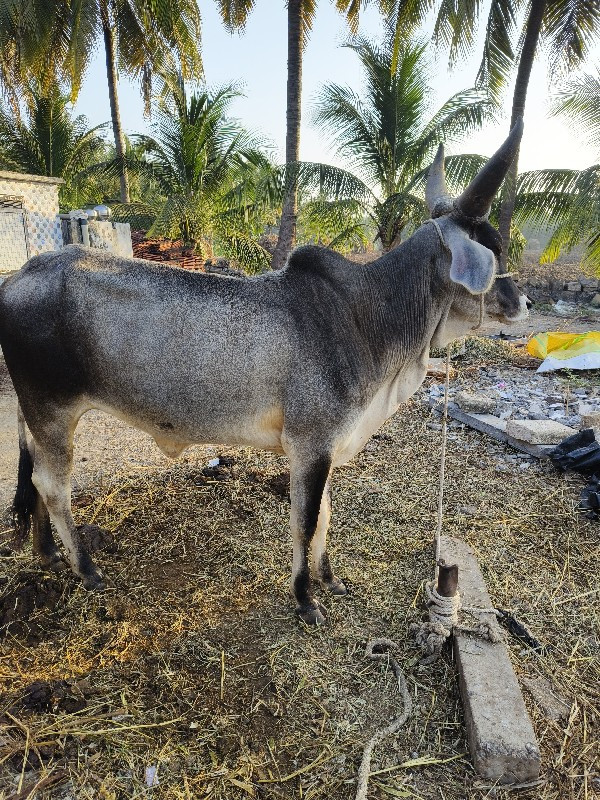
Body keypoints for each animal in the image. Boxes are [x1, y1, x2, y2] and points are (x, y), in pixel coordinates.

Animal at [0, 123, 524, 624]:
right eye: (494, 248)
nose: (522, 301)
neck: (364, 316)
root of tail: (19, 276)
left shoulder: (323, 450)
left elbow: (325, 516)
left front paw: (330, 580)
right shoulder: (310, 445)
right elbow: (305, 522)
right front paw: (305, 598)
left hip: (36, 415)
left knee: (37, 479)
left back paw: (47, 553)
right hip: (53, 410)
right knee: (53, 486)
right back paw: (85, 567)